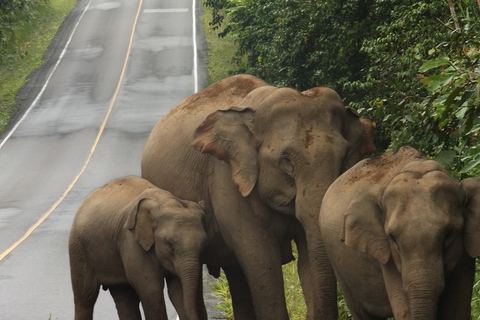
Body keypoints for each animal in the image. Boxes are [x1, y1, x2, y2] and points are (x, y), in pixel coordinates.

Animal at [69, 176, 208, 320]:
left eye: (204, 245)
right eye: (170, 245)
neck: (166, 201)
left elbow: (177, 290)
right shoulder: (131, 241)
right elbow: (151, 289)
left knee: (124, 297)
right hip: (78, 248)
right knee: (85, 297)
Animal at [141, 74, 376, 318]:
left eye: (343, 157)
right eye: (287, 160)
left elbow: (306, 257)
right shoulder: (227, 182)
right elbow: (261, 261)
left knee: (236, 274)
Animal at [318, 147, 480, 320]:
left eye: (449, 235)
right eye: (393, 239)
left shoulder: (464, 251)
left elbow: (457, 309)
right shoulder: (388, 257)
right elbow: (403, 308)